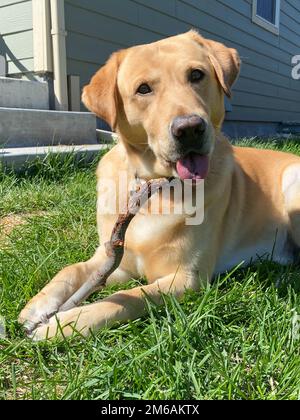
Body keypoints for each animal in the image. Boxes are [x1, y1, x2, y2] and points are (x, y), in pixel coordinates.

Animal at [18, 32, 300, 342]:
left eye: (196, 74)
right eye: (143, 89)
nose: (189, 128)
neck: (155, 188)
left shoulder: (186, 278)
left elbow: (128, 298)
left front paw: (64, 323)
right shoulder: (112, 259)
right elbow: (71, 270)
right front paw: (37, 307)